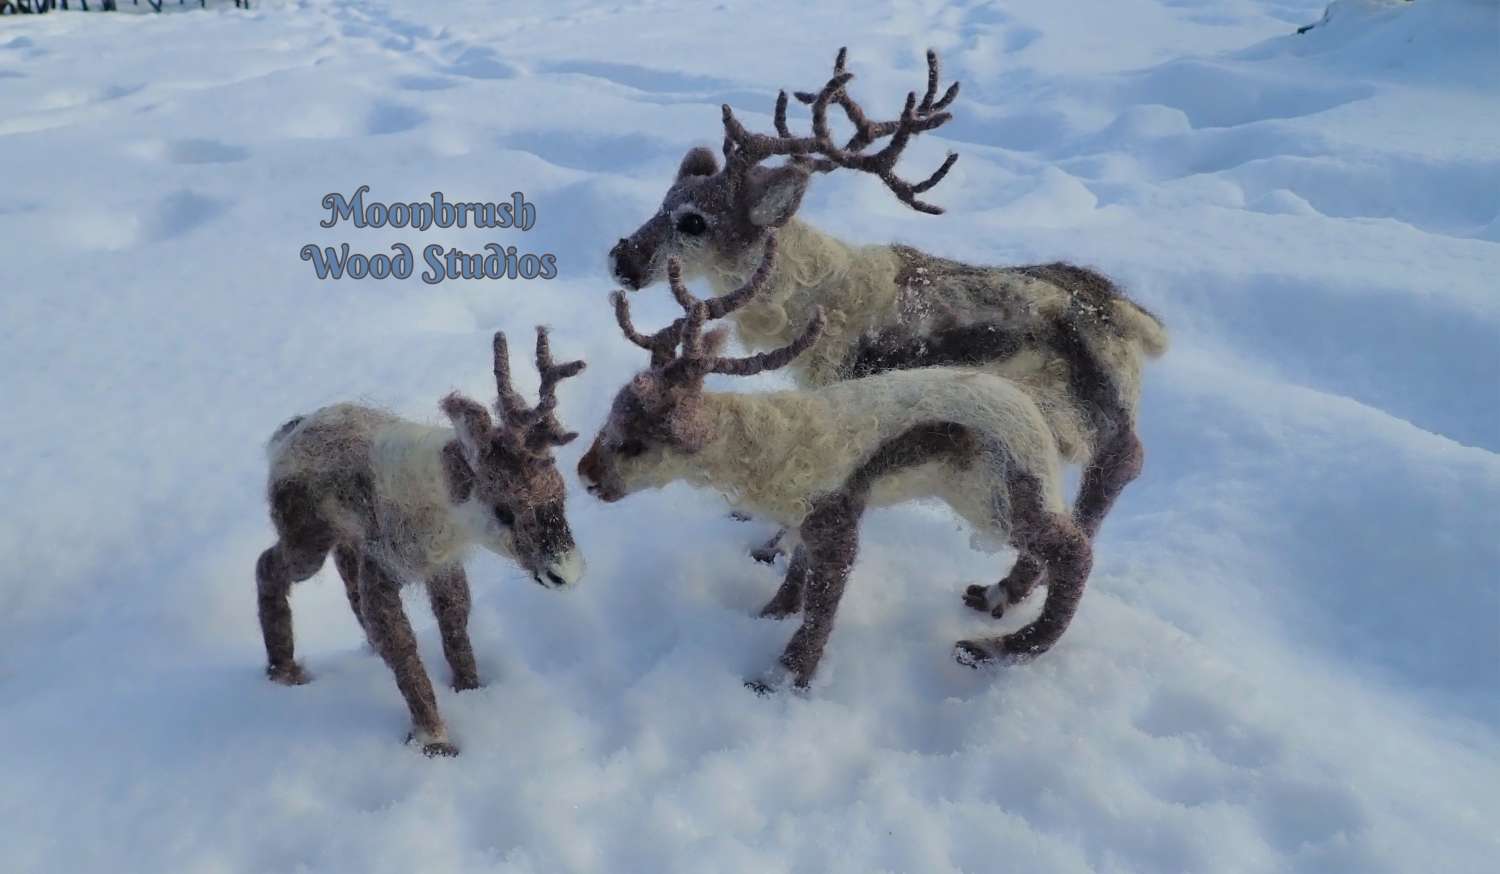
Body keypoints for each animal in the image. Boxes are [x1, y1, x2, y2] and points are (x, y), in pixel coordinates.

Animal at [255, 328, 586, 756]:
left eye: (561, 493)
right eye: (504, 510)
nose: (568, 572)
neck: (442, 503)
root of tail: (285, 433)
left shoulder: (442, 565)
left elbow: (455, 623)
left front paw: (471, 690)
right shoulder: (384, 565)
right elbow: (402, 647)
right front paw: (435, 741)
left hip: (345, 535)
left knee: (344, 573)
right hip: (306, 536)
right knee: (268, 564)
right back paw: (285, 672)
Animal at [578, 236, 1093, 691]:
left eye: (634, 444)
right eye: (610, 416)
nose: (585, 475)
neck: (775, 442)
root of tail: (1038, 420)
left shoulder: (837, 519)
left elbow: (821, 608)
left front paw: (781, 680)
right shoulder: (807, 518)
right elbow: (796, 576)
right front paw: (770, 613)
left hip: (993, 499)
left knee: (1075, 550)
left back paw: (990, 648)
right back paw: (992, 601)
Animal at [607, 48, 1165, 620]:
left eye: (695, 221)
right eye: (664, 200)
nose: (621, 261)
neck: (812, 299)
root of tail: (1134, 317)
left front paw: (773, 559)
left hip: (1101, 414)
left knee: (1118, 470)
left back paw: (1003, 592)